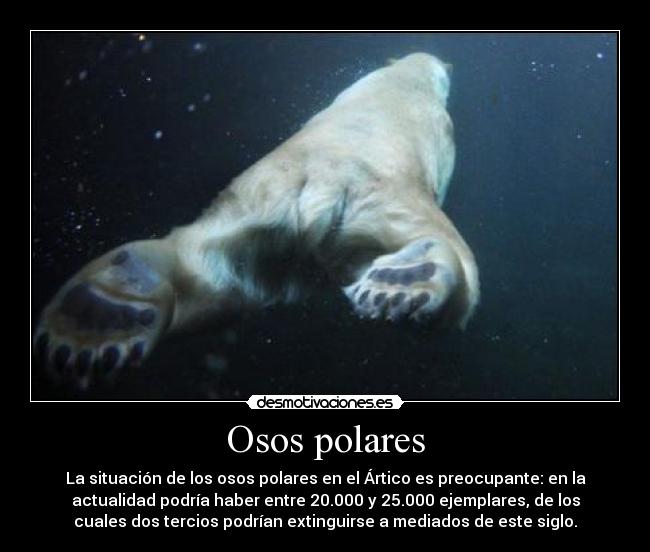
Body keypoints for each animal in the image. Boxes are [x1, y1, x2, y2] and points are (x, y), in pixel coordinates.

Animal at [33, 53, 480, 388]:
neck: (407, 78)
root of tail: (324, 182)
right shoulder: (444, 129)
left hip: (250, 213)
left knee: (209, 276)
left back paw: (102, 313)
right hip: (387, 201)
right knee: (450, 259)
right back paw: (407, 280)